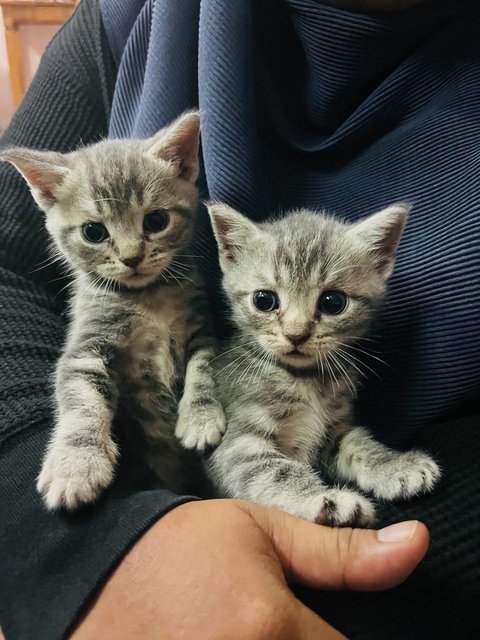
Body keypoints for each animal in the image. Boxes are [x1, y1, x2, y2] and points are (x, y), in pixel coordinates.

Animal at [0, 111, 225, 510]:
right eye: (93, 231)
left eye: (155, 221)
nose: (131, 258)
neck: (148, 297)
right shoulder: (86, 348)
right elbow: (82, 403)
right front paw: (76, 464)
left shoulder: (201, 328)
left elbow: (205, 369)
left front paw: (200, 416)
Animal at [204, 204, 440, 524]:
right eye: (264, 300)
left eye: (333, 302)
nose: (296, 334)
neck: (305, 378)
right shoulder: (237, 445)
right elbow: (276, 472)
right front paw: (327, 500)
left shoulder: (335, 428)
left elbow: (359, 444)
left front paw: (395, 465)